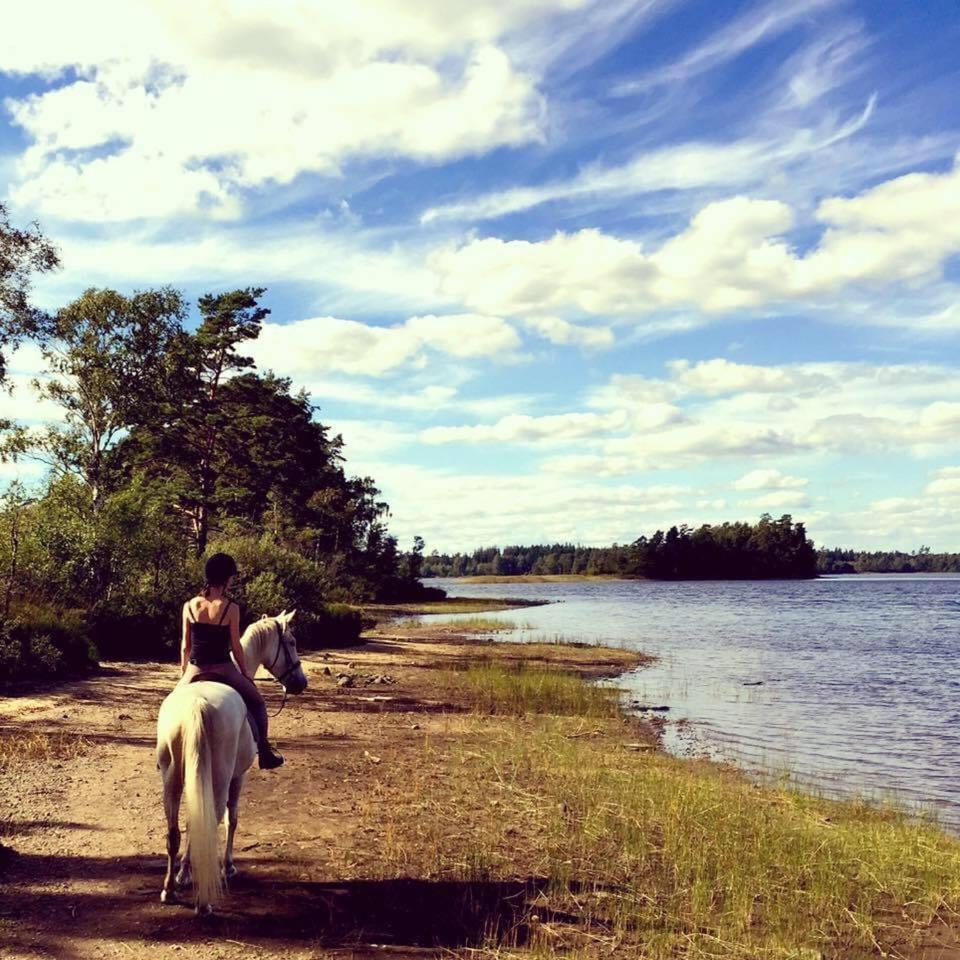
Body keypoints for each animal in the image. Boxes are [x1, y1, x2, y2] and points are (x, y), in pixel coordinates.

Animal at [156, 612, 308, 912]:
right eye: (292, 641)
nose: (301, 682)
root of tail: (197, 705)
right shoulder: (239, 776)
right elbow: (232, 818)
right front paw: (228, 867)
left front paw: (184, 873)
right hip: (220, 777)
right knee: (211, 819)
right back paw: (204, 900)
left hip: (173, 778)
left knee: (175, 830)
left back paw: (171, 888)